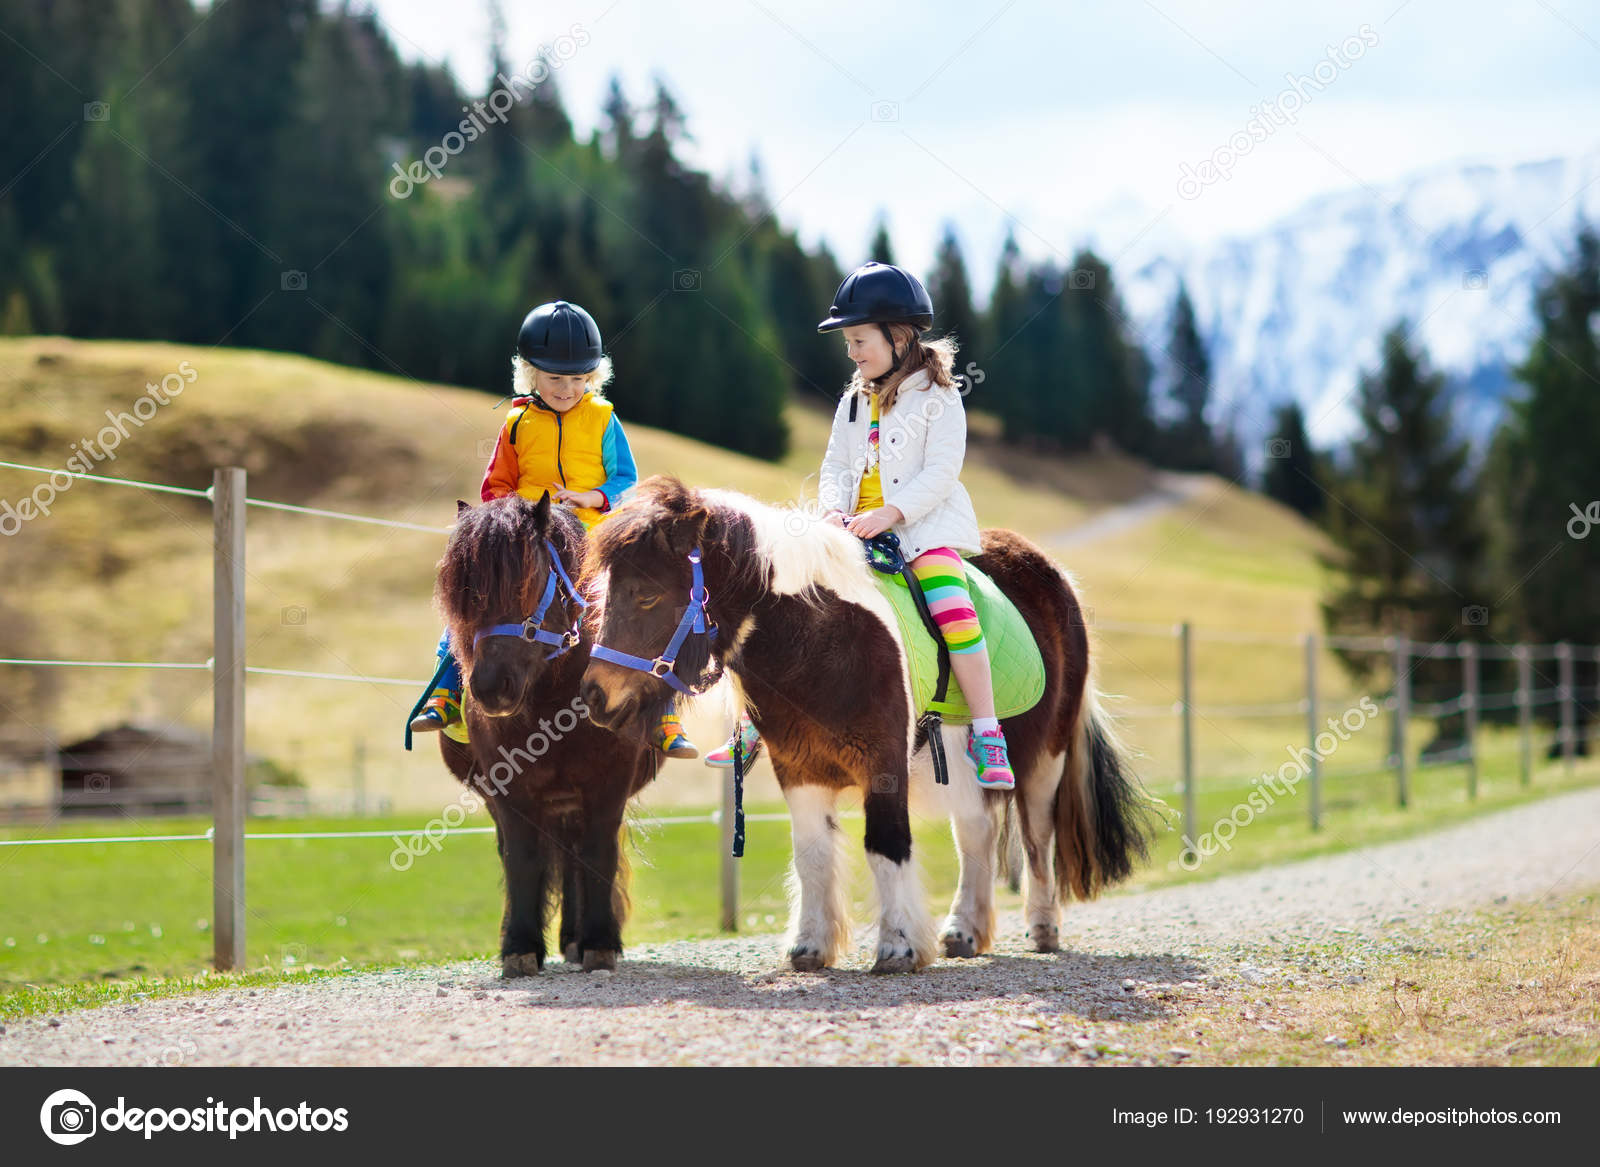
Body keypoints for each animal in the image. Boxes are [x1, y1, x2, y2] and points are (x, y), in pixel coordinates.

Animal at [432, 491, 660, 975]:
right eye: (465, 597)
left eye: (528, 582)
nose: (489, 687)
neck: (553, 701)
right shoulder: (508, 791)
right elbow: (522, 858)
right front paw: (519, 946)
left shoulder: (609, 783)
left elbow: (598, 854)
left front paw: (599, 942)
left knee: (577, 854)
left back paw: (576, 939)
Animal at [577, 476, 1154, 974]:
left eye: (648, 594)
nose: (594, 695)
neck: (821, 637)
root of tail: (1051, 573)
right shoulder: (799, 768)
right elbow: (811, 854)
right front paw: (809, 946)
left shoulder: (884, 762)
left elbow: (886, 844)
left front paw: (899, 948)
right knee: (978, 831)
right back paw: (964, 931)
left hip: (1044, 758)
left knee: (1036, 836)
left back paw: (1042, 927)